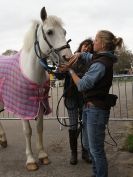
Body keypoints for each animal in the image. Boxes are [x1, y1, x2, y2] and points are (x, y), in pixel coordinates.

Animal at [0, 7, 71, 171]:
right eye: (50, 32)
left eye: (64, 31)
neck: (30, 70)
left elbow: (39, 128)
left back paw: (3, 140)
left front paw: (43, 155)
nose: (68, 57)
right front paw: (31, 160)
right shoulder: (23, 107)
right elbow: (28, 131)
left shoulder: (40, 104)